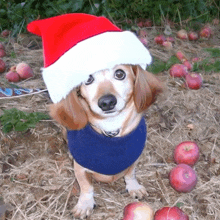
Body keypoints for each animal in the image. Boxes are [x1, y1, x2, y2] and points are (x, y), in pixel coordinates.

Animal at [49, 63, 163, 218]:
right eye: (88, 79)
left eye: (120, 74)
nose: (107, 102)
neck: (111, 128)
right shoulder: (80, 169)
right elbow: (86, 187)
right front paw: (85, 204)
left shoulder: (134, 159)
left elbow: (130, 174)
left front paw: (134, 187)